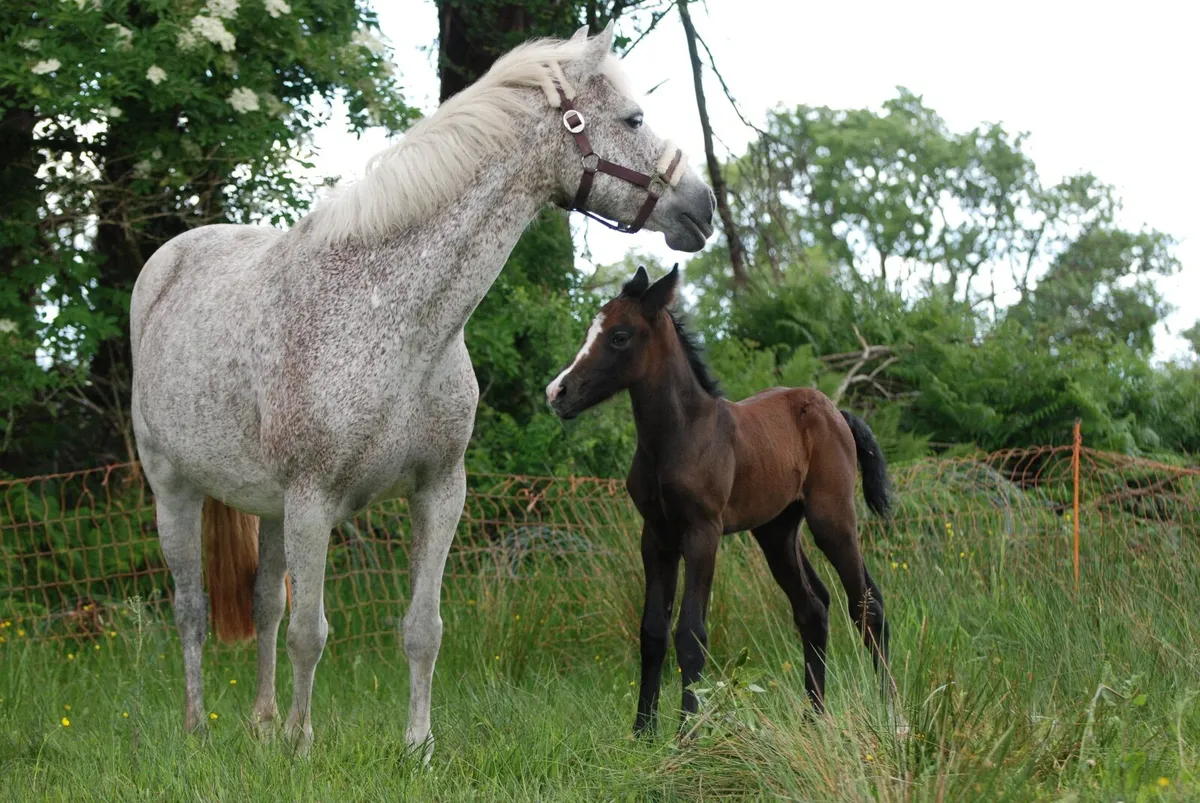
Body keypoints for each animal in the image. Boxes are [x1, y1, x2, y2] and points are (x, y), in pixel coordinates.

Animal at [129, 23, 715, 757]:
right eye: (634, 119)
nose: (703, 206)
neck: (395, 318)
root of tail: (166, 264)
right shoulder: (313, 500)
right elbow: (310, 633)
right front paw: (302, 746)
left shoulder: (439, 490)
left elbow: (421, 629)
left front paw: (417, 745)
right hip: (175, 489)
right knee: (192, 610)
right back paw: (197, 730)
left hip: (267, 509)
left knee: (264, 602)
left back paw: (261, 724)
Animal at [545, 265, 895, 735]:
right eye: (589, 331)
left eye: (619, 336)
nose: (556, 393)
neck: (679, 436)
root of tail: (836, 412)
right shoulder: (656, 536)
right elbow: (652, 631)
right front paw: (642, 733)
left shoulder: (702, 533)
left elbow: (691, 633)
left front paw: (687, 734)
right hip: (776, 531)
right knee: (813, 607)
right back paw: (813, 718)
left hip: (832, 518)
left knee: (868, 606)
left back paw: (891, 715)